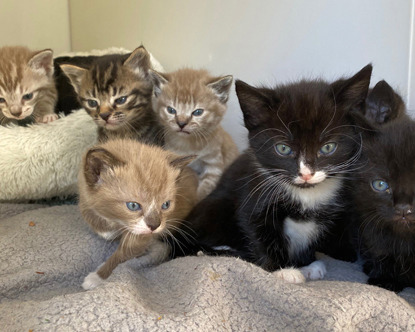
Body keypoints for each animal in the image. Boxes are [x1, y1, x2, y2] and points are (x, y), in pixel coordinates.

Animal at [79, 139, 200, 290]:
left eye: (165, 205)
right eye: (133, 205)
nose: (154, 226)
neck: (117, 221)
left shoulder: (141, 236)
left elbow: (122, 254)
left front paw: (98, 276)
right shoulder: (85, 197)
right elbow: (91, 214)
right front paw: (106, 230)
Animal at [151, 67, 239, 200]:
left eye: (198, 112)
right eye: (171, 110)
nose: (181, 123)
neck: (188, 144)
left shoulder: (214, 165)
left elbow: (203, 191)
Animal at [179, 63, 374, 280]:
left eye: (328, 147)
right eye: (283, 148)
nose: (306, 174)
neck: (305, 195)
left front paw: (307, 263)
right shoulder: (254, 194)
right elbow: (258, 232)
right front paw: (282, 271)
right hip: (216, 205)